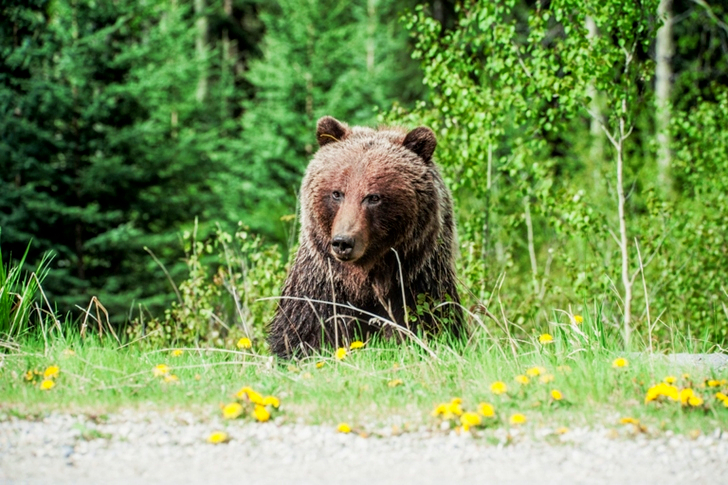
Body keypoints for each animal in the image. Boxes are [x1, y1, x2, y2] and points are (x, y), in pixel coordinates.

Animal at [268, 116, 462, 358]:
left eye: (373, 197)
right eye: (337, 193)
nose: (343, 242)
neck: (365, 279)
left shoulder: (416, 285)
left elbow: (430, 324)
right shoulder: (321, 289)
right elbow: (302, 334)